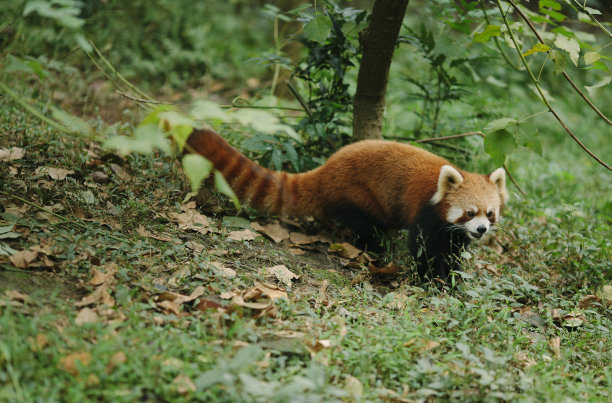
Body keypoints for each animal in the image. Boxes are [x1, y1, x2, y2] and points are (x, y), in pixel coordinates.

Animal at [185, 129, 506, 280]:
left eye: (490, 214)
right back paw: (376, 248)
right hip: (356, 194)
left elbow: (451, 250)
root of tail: (327, 168)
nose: (481, 229)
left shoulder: (451, 230)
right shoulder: (425, 212)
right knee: (368, 225)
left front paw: (452, 277)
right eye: (469, 212)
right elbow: (423, 248)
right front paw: (430, 278)